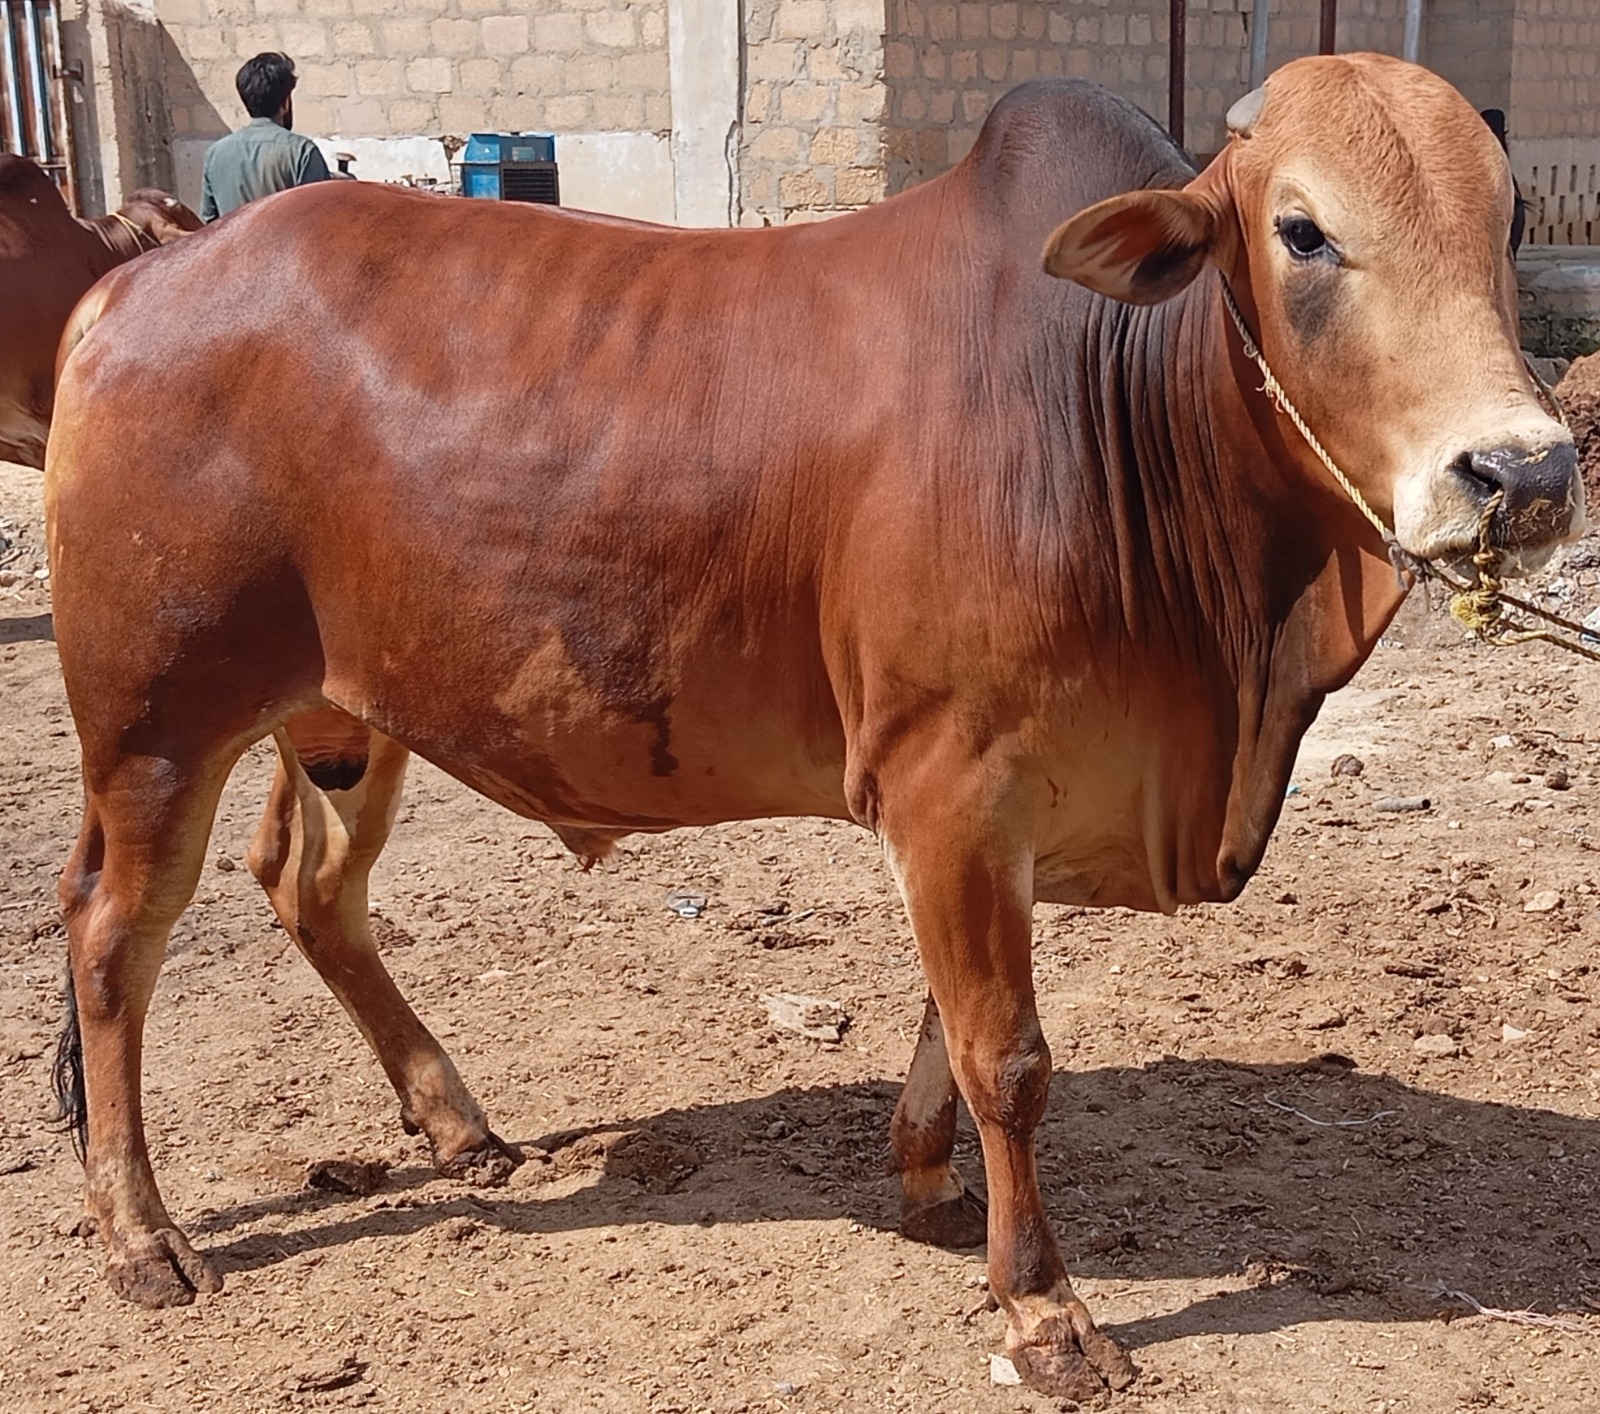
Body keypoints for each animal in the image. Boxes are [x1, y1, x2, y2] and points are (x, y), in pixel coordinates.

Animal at [43, 54, 1579, 1399]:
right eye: (1302, 231)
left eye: (1507, 216)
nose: (1523, 473)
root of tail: (134, 280)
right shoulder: (954, 784)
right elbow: (1009, 1055)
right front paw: (1045, 1310)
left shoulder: (992, 811)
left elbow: (949, 1023)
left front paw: (926, 1176)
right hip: (157, 725)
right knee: (113, 940)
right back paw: (142, 1235)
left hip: (342, 715)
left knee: (307, 889)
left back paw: (456, 1121)